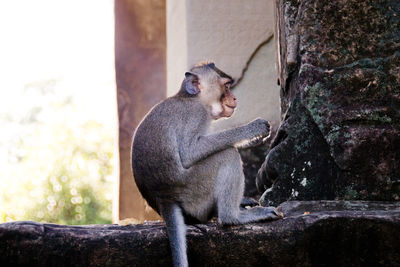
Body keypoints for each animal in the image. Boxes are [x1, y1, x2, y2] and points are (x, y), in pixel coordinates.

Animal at [132, 61, 282, 266]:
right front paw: (253, 129)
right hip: (195, 192)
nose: (235, 97)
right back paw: (233, 217)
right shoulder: (196, 115)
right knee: (228, 154)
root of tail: (164, 198)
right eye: (226, 86)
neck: (191, 98)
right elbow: (189, 153)